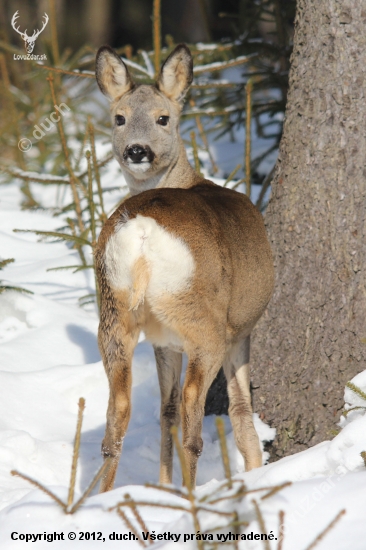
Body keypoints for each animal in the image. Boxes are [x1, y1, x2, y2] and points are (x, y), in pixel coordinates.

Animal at [95, 43, 274, 492]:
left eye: (164, 118)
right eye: (119, 118)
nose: (136, 150)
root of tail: (142, 231)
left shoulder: (163, 343)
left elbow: (166, 410)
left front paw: (162, 484)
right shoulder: (240, 328)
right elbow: (240, 410)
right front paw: (254, 469)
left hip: (114, 313)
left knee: (119, 409)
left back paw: (101, 498)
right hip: (200, 317)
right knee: (195, 410)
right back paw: (193, 496)